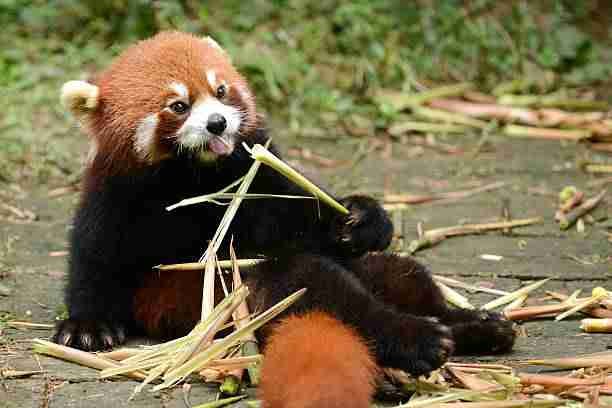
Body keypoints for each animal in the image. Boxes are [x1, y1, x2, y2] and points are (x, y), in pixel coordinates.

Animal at [53, 31, 516, 404]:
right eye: (179, 105)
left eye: (221, 90)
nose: (218, 123)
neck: (199, 173)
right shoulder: (118, 196)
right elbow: (95, 257)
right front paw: (86, 326)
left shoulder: (256, 174)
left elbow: (298, 214)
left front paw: (362, 218)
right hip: (227, 299)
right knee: (318, 288)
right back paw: (420, 338)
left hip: (375, 271)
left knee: (404, 276)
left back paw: (475, 326)